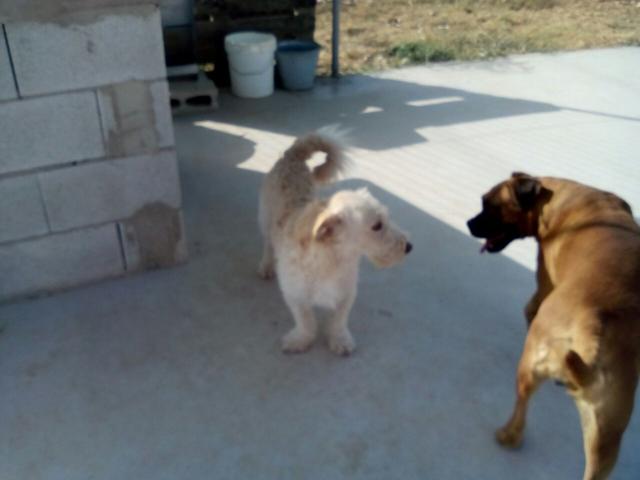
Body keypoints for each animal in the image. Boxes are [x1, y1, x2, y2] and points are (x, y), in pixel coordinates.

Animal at [258, 130, 412, 356]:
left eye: (387, 218)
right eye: (377, 226)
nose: (409, 247)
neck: (331, 260)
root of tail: (292, 156)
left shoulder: (346, 294)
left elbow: (339, 321)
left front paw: (340, 340)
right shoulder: (295, 295)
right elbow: (306, 321)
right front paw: (300, 340)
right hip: (266, 220)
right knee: (268, 244)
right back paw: (266, 265)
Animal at [468, 172, 640, 480]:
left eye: (489, 204)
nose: (469, 223)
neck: (552, 197)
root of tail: (592, 326)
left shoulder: (544, 284)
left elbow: (529, 308)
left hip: (529, 367)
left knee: (520, 412)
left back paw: (507, 435)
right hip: (609, 429)